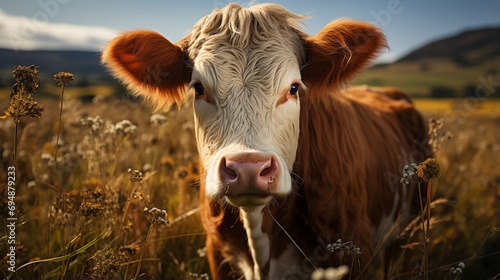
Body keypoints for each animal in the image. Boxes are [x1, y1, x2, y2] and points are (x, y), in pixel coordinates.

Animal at [102, 2, 430, 280]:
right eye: (198, 88)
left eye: (294, 88)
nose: (247, 169)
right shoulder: (217, 253)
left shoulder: (353, 249)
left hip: (410, 232)